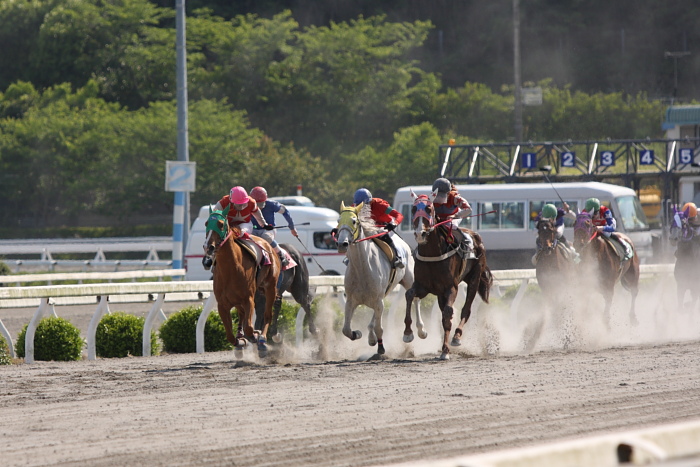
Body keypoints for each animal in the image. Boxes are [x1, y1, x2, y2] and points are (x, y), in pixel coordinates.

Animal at [201, 206, 280, 358]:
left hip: (270, 288)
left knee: (267, 315)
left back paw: (262, 340)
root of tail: (267, 244)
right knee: (242, 315)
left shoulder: (248, 299)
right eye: (206, 223)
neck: (231, 269)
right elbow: (230, 335)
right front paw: (240, 342)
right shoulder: (223, 305)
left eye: (221, 224)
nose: (209, 247)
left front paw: (256, 335)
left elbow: (249, 328)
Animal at [334, 202, 426, 354]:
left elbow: (379, 328)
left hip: (408, 280)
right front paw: (357, 333)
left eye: (354, 221)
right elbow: (346, 329)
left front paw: (381, 347)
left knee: (416, 299)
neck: (362, 268)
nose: (342, 243)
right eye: (338, 221)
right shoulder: (352, 300)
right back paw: (371, 337)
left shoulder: (377, 300)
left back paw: (418, 331)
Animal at [404, 192, 492, 360]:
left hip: (474, 277)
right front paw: (408, 333)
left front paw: (445, 350)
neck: (433, 253)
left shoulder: (451, 287)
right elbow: (409, 295)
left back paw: (456, 337)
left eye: (429, 208)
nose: (420, 233)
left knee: (466, 310)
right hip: (440, 293)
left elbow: (448, 312)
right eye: (413, 209)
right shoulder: (422, 286)